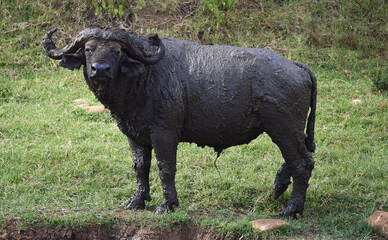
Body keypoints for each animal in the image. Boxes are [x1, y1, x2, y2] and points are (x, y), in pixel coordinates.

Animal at [41, 26, 316, 218]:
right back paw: (279, 187)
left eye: (116, 51)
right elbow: (140, 167)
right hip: (290, 131)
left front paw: (167, 204)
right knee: (304, 158)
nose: (99, 69)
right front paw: (136, 201)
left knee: (302, 164)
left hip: (284, 129)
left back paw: (291, 209)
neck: (144, 77)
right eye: (88, 49)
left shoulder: (164, 133)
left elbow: (165, 168)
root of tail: (296, 66)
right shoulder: (135, 135)